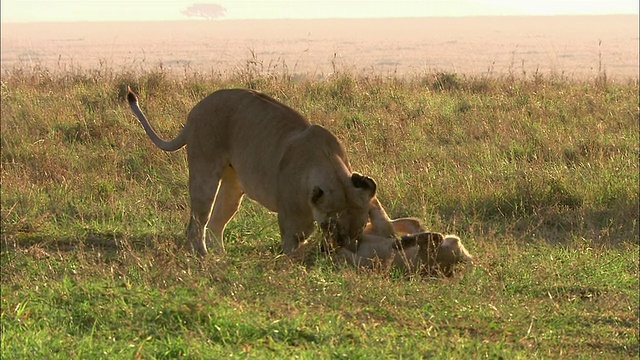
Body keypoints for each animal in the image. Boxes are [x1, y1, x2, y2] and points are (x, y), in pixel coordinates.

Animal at [128, 88, 382, 256]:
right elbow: (293, 244)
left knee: (215, 224)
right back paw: (203, 257)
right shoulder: (292, 222)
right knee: (196, 224)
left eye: (360, 228)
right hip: (204, 172)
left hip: (233, 187)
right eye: (332, 227)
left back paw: (221, 258)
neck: (329, 166)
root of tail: (196, 109)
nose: (343, 247)